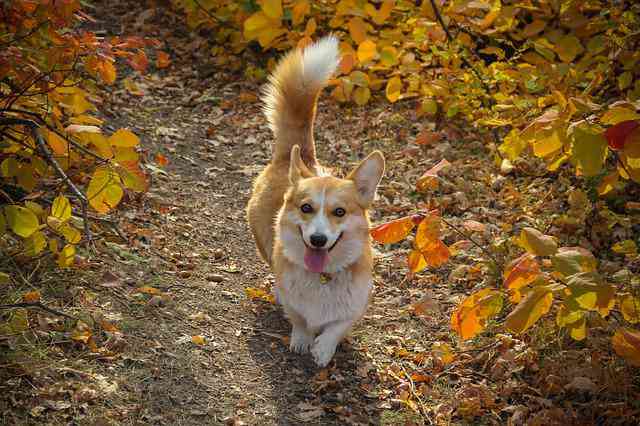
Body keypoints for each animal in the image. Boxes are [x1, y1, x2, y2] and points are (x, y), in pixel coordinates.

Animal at [248, 35, 382, 366]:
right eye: (306, 208)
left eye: (339, 212)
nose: (318, 240)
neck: (322, 277)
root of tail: (296, 157)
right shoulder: (295, 302)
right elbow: (299, 318)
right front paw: (302, 339)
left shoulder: (356, 305)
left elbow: (337, 326)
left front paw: (323, 348)